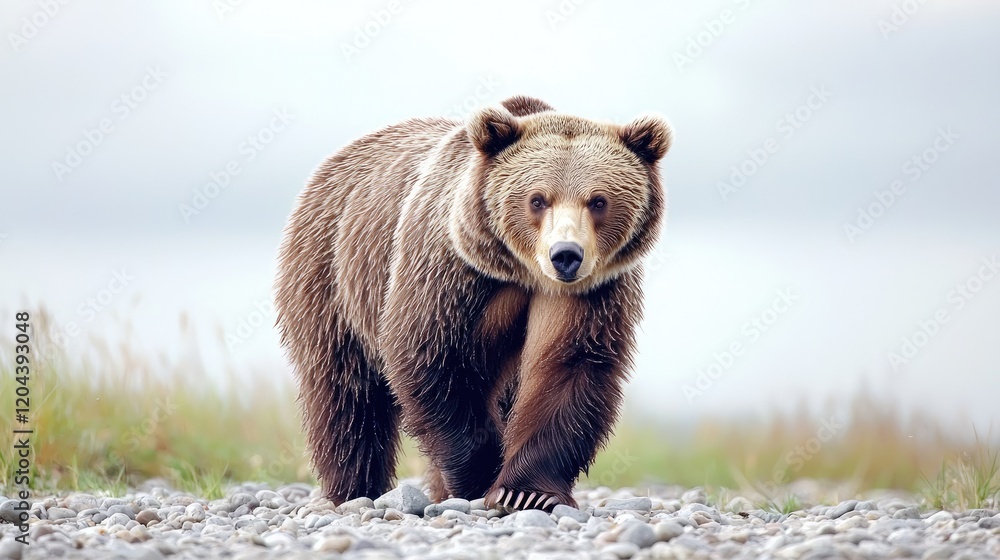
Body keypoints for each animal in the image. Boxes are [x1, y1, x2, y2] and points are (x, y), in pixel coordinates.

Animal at [274, 95, 671, 511]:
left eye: (598, 201)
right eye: (537, 199)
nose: (566, 255)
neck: (524, 271)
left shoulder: (589, 293)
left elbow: (571, 366)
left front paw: (526, 491)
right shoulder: (450, 272)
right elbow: (435, 359)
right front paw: (481, 475)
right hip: (331, 273)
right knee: (347, 395)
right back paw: (355, 488)